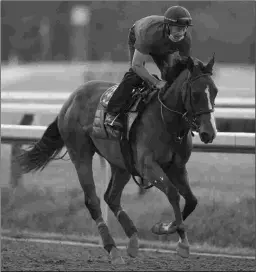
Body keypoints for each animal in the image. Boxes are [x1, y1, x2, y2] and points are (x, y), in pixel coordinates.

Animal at [17, 54, 218, 264]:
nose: (209, 133)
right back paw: (112, 248)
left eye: (214, 92)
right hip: (80, 153)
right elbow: (173, 194)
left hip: (121, 162)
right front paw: (182, 243)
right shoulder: (148, 166)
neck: (167, 122)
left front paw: (163, 228)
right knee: (93, 200)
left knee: (111, 197)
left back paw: (133, 240)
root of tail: (71, 99)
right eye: (196, 93)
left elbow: (192, 200)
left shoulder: (177, 168)